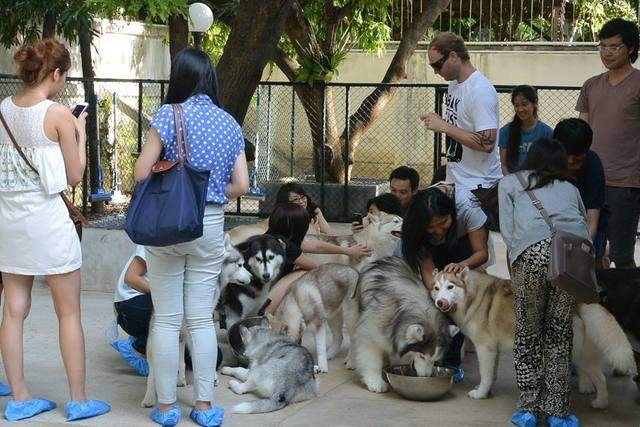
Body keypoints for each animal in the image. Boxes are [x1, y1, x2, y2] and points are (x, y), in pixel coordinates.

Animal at [141, 236, 254, 410]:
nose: (252, 277)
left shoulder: (182, 334)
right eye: (240, 265)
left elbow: (180, 359)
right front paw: (211, 378)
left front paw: (180, 379)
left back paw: (151, 397)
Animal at [348, 258, 452, 394]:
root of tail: (380, 260)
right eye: (422, 356)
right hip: (354, 318)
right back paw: (351, 361)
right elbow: (371, 361)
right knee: (353, 340)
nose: (426, 377)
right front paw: (375, 382)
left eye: (435, 360)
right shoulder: (370, 335)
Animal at [432, 268, 636, 408]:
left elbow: (486, 375)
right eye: (436, 288)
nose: (439, 302)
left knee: (600, 378)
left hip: (574, 353)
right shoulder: (494, 350)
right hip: (582, 352)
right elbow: (492, 374)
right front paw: (488, 391)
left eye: (450, 286)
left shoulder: (485, 348)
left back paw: (600, 403)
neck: (472, 297)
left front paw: (481, 393)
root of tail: (579, 301)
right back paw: (592, 392)